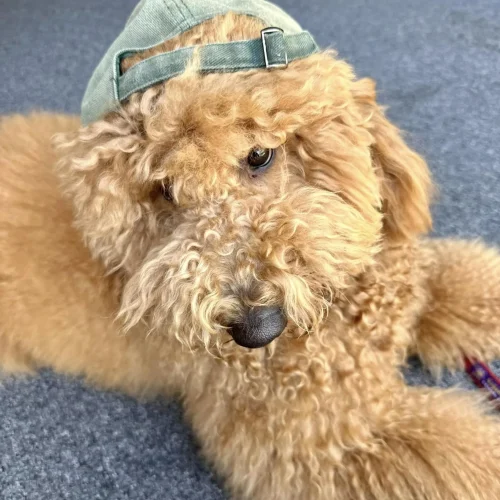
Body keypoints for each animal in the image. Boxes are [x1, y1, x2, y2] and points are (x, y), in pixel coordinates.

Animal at [2, 11, 500, 500]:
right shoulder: (330, 444)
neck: (334, 323)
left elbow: (460, 283)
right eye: (165, 190)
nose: (255, 329)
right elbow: (462, 460)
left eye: (259, 154)